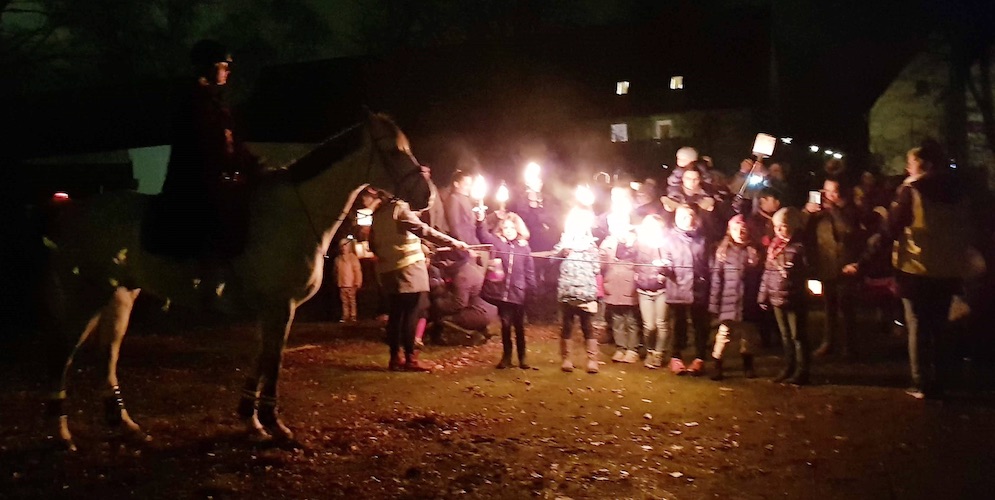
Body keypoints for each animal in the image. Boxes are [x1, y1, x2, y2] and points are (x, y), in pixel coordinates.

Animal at [41, 114, 432, 454]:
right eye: (393, 151)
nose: (425, 197)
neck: (294, 213)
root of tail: (72, 213)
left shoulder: (271, 310)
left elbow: (260, 358)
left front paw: (251, 421)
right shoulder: (280, 307)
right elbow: (272, 363)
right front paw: (276, 426)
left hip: (119, 295)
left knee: (108, 354)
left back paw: (125, 425)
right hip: (84, 297)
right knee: (61, 355)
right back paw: (61, 435)